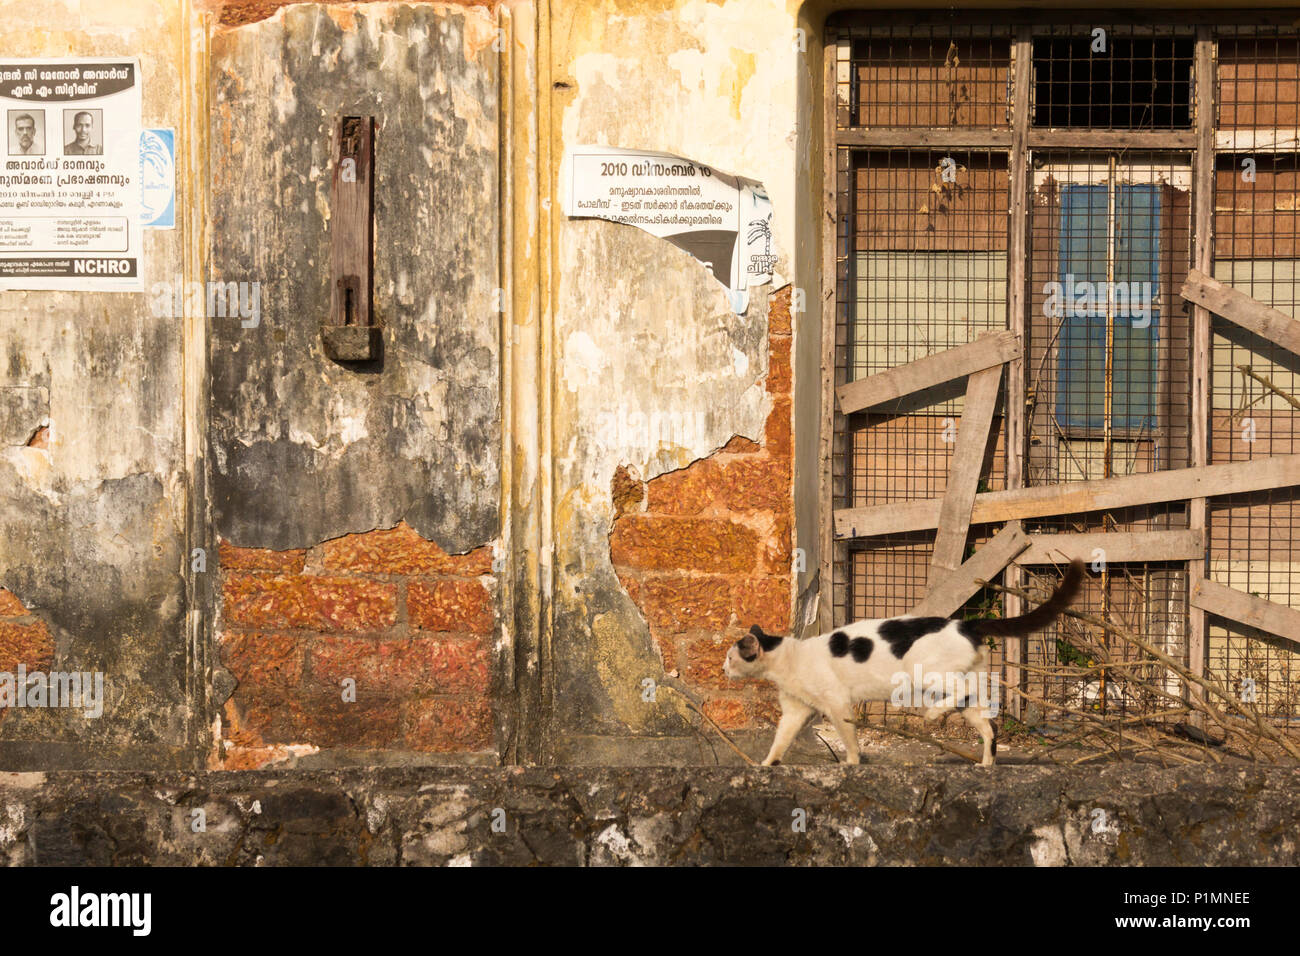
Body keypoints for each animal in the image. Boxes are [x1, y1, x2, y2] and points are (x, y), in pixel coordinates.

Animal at [728, 561, 1081, 770]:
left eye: (731, 657)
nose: (723, 669)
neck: (787, 659)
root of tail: (965, 624)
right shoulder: (795, 711)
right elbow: (780, 740)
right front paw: (766, 764)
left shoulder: (837, 703)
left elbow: (849, 736)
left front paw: (852, 763)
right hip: (967, 699)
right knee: (988, 726)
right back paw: (985, 764)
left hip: (927, 674)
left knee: (962, 691)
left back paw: (934, 715)